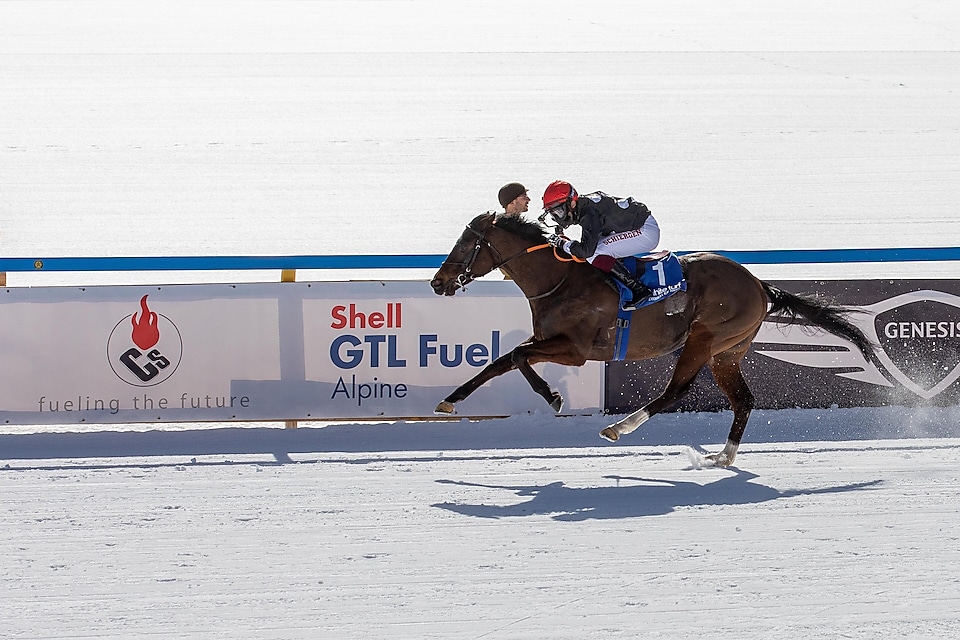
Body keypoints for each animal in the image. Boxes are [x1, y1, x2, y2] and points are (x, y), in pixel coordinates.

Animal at [432, 210, 872, 464]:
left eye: (467, 243)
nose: (438, 282)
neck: (560, 279)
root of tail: (758, 284)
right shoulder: (554, 342)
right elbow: (502, 360)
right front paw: (450, 401)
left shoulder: (575, 350)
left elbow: (518, 357)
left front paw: (553, 396)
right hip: (727, 352)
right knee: (744, 400)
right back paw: (722, 457)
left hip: (704, 338)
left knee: (676, 390)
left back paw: (619, 428)